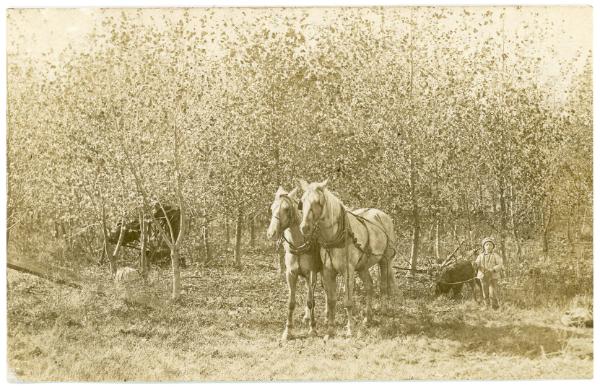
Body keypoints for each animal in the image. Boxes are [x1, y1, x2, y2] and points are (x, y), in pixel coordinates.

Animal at [268, 186, 324, 340]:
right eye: (271, 208)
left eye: (287, 209)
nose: (271, 233)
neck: (299, 244)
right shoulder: (291, 274)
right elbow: (291, 303)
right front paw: (288, 331)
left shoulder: (311, 273)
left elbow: (311, 301)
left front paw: (313, 329)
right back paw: (306, 317)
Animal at [298, 179, 398, 336]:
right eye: (302, 201)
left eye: (318, 202)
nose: (304, 228)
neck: (334, 237)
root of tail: (382, 215)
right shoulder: (328, 272)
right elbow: (331, 300)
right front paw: (330, 329)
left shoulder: (348, 271)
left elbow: (347, 301)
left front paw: (350, 329)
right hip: (362, 266)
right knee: (369, 286)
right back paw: (367, 318)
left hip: (385, 260)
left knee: (383, 286)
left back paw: (383, 312)